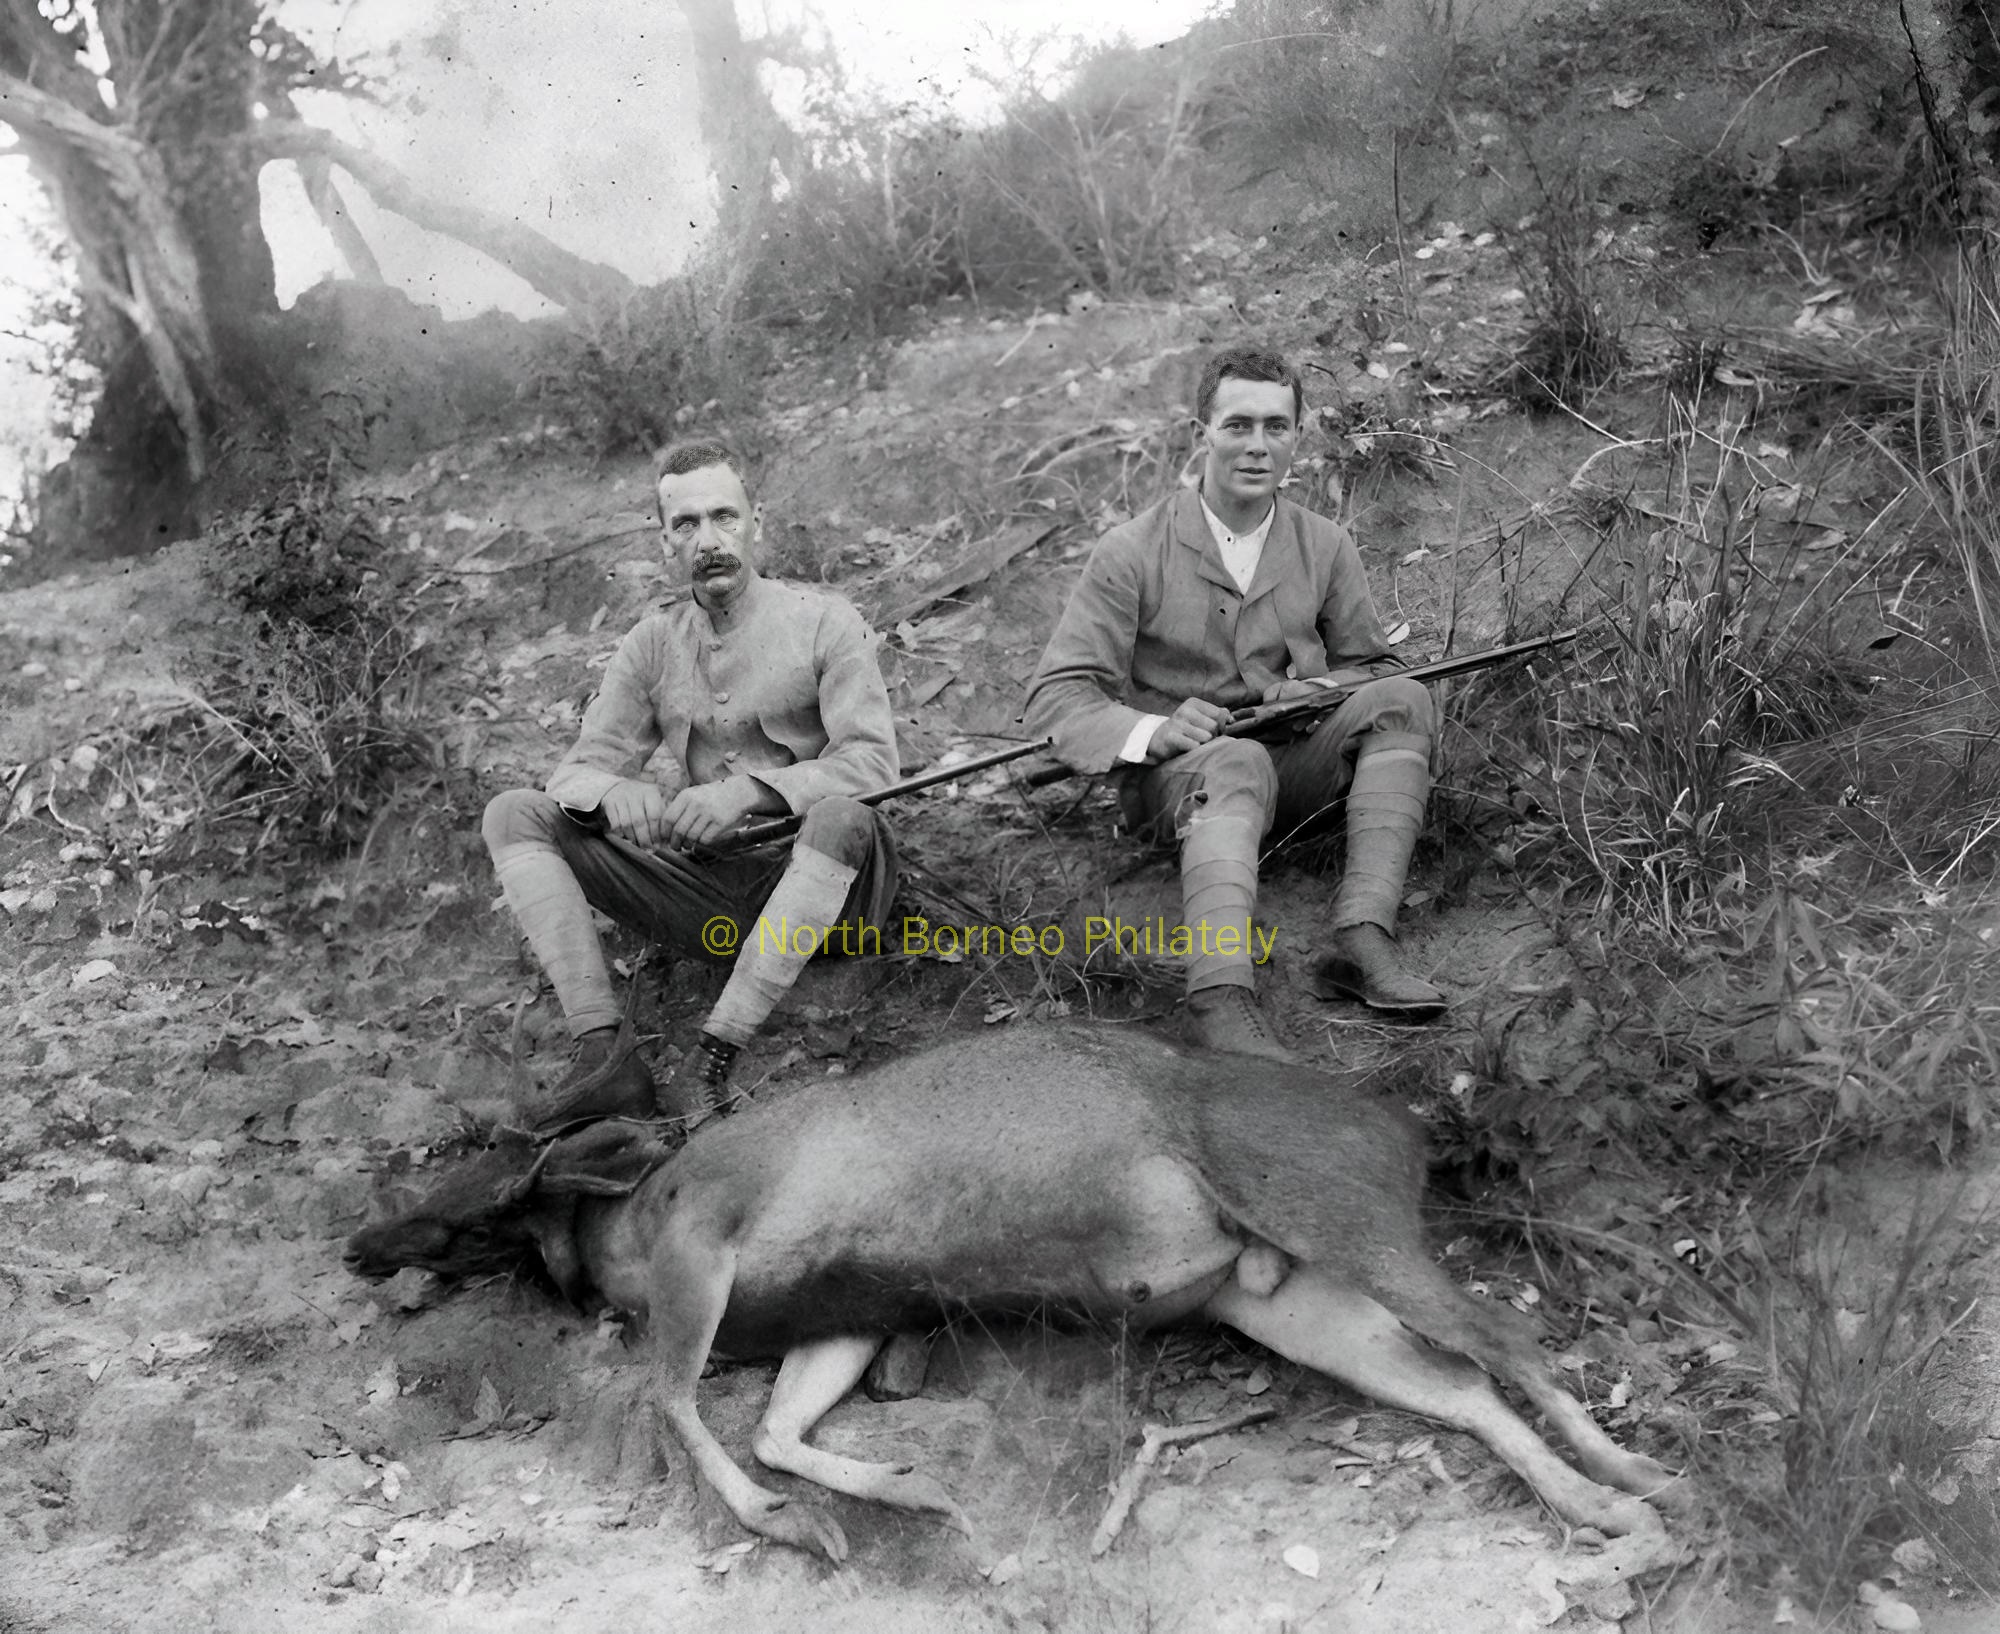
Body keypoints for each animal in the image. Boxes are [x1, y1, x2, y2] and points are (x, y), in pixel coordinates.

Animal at [344, 1023, 1681, 1565]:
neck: (628, 1230)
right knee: (1456, 1382)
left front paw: (798, 1523)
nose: (360, 1242)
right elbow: (777, 1422)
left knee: (1506, 1333)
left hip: (1335, 1216)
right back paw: (1607, 1510)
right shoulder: (852, 1312)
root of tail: (1407, 1131)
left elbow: (673, 1397)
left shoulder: (708, 1238)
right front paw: (912, 1489)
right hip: (1285, 1297)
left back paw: (1639, 1474)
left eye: (465, 1188)